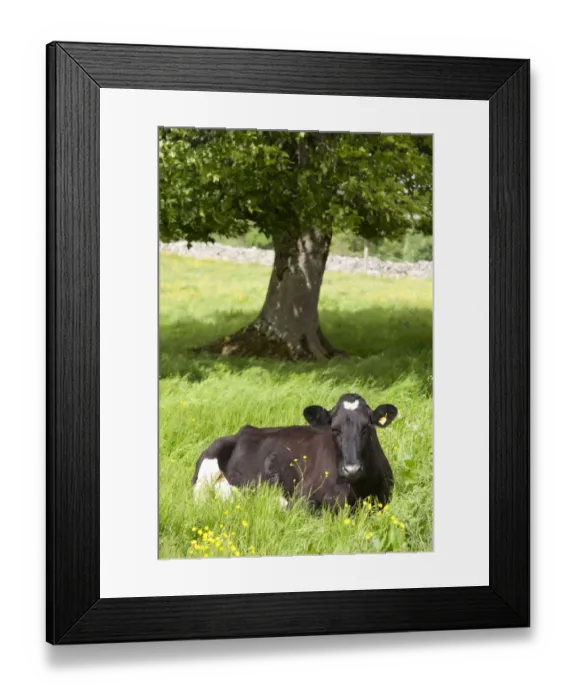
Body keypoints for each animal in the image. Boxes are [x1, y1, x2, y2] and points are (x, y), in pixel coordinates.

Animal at [192, 393, 398, 510]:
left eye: (367, 428)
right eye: (334, 429)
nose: (351, 469)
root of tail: (242, 431)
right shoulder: (301, 497)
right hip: (203, 480)